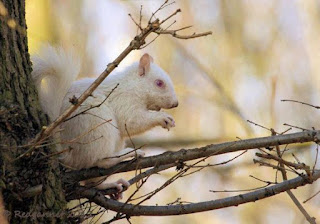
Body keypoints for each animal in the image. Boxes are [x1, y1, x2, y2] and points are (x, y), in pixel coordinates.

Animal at [31, 45, 179, 198]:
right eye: (159, 83)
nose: (176, 103)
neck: (132, 86)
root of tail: (69, 154)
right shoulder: (124, 99)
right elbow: (131, 121)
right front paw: (162, 118)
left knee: (91, 181)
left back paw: (110, 184)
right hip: (99, 127)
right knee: (101, 161)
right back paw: (128, 154)